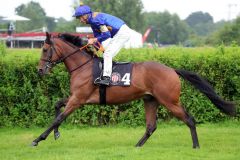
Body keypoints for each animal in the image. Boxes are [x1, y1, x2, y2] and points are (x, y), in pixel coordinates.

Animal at [32, 32, 236, 149]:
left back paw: (196, 146)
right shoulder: (76, 97)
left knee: (189, 119)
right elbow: (57, 105)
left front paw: (38, 139)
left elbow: (58, 117)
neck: (83, 67)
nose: (40, 70)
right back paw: (137, 146)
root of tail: (172, 70)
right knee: (151, 126)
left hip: (169, 101)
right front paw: (56, 134)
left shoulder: (78, 99)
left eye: (44, 49)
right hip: (150, 100)